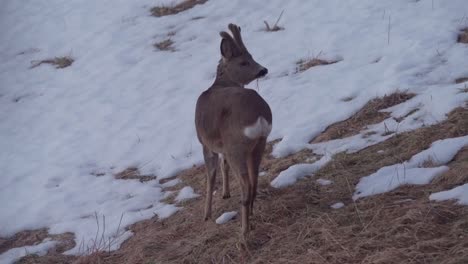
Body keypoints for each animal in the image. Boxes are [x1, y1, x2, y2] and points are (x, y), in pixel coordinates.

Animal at [196, 23, 272, 236]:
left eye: (250, 58)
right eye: (245, 61)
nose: (263, 70)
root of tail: (259, 115)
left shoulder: (206, 143)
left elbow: (210, 176)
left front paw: (206, 214)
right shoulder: (221, 146)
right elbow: (223, 166)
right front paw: (226, 193)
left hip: (236, 146)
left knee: (246, 183)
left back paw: (244, 231)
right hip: (258, 143)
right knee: (254, 179)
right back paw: (251, 213)